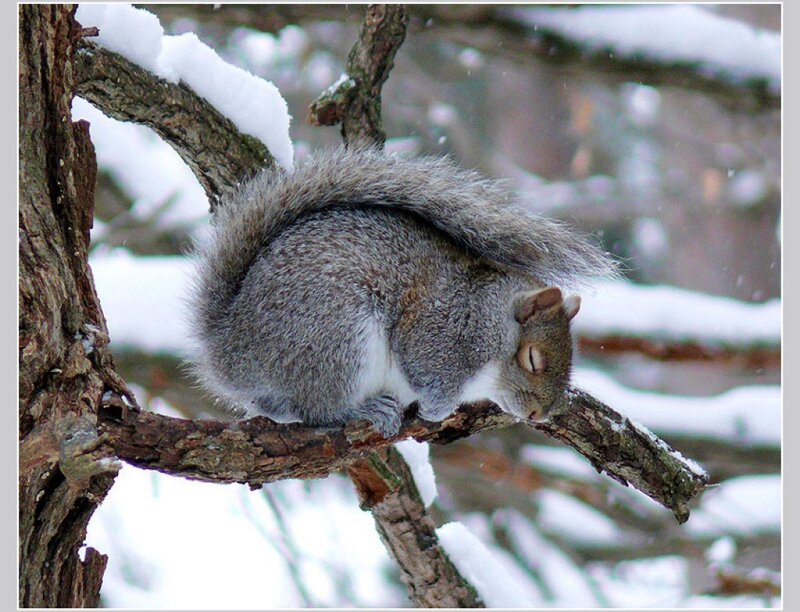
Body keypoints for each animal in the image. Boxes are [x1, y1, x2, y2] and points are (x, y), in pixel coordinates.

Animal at [188, 147, 616, 437]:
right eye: (531, 358)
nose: (539, 415)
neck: (490, 315)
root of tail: (231, 349)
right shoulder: (440, 331)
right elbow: (424, 370)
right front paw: (437, 408)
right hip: (335, 340)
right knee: (318, 410)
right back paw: (365, 410)